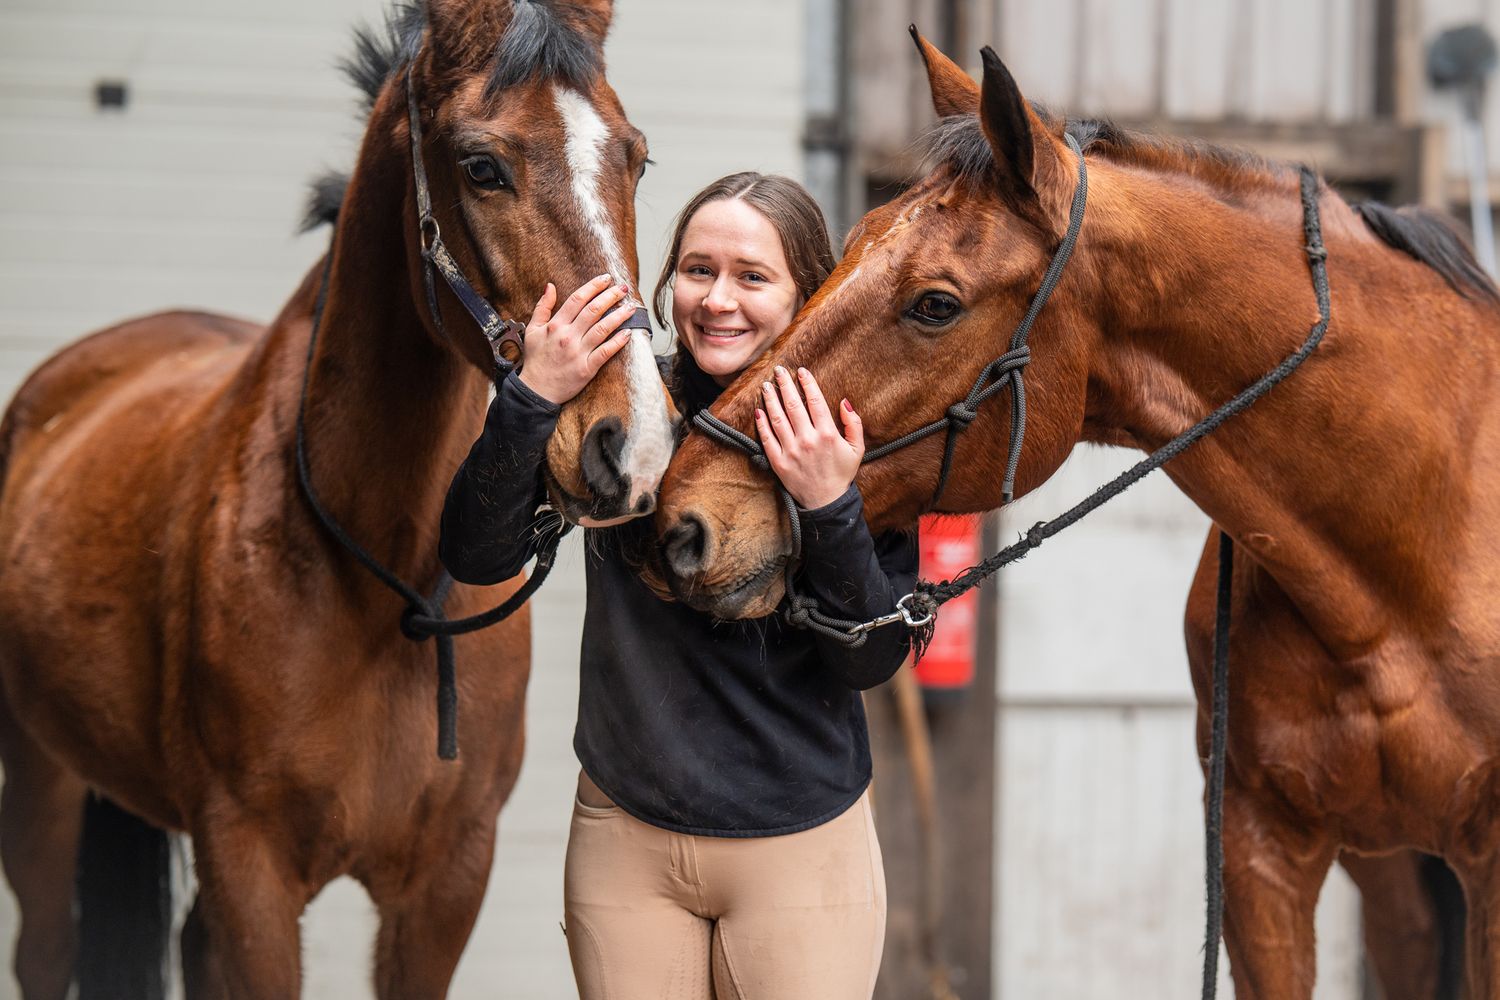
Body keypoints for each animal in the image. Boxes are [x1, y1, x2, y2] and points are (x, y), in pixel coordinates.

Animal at [0, 0, 674, 995]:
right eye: (481, 166)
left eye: (636, 159)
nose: (633, 446)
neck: (378, 580)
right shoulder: (250, 872)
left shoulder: (446, 882)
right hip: (40, 777)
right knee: (45, 949)